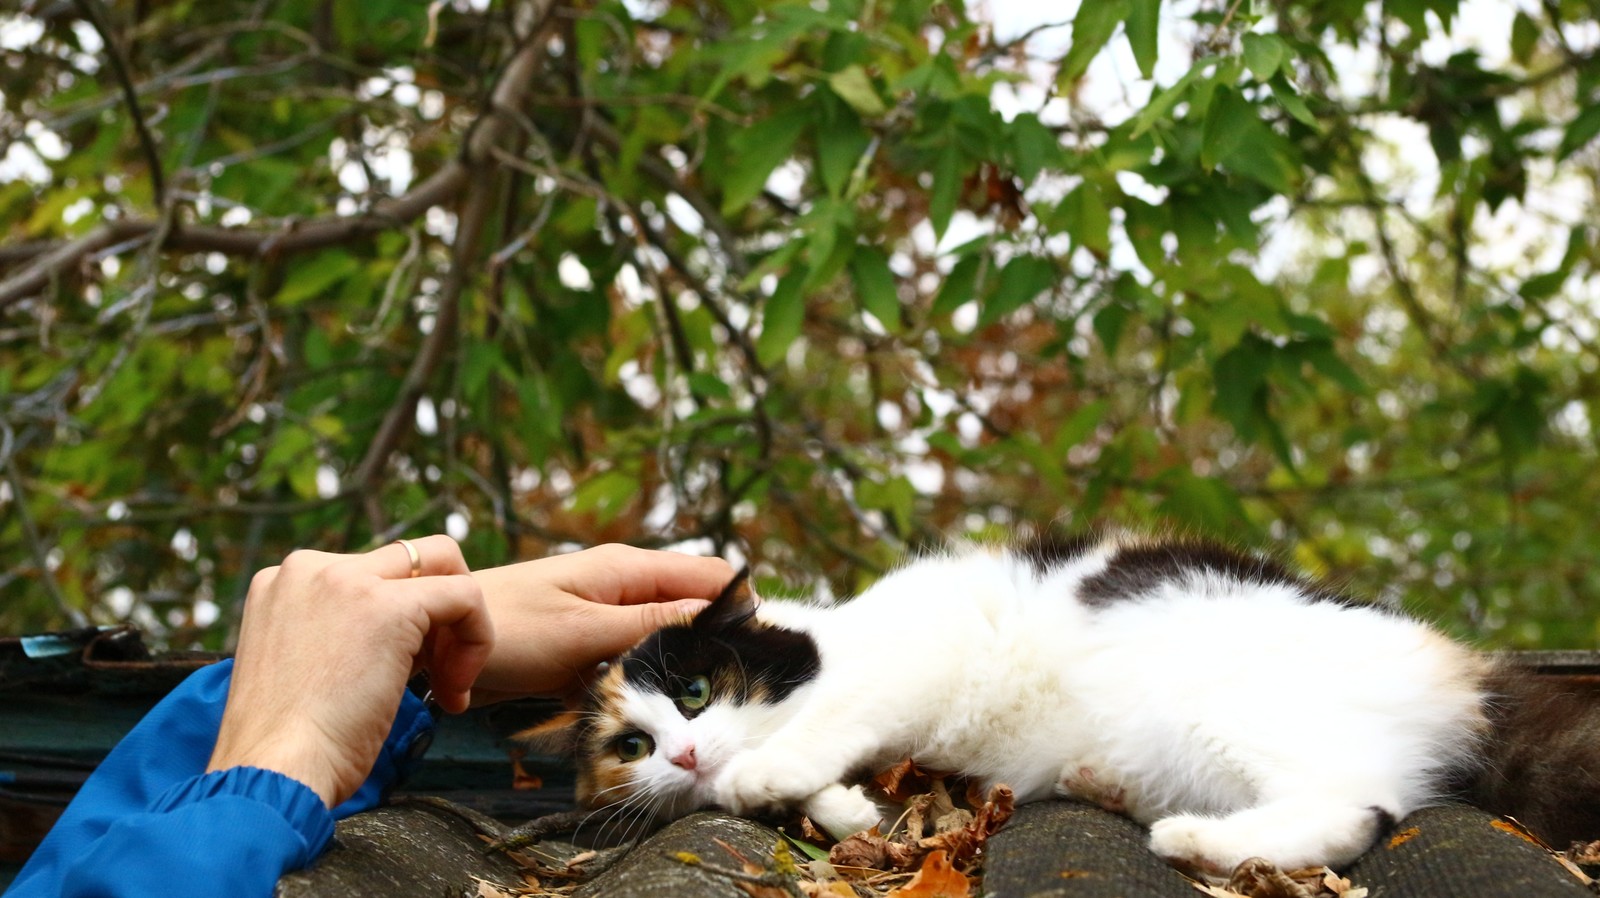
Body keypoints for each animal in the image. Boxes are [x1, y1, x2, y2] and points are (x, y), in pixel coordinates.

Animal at [521, 525, 1600, 877]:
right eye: (629, 745)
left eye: (698, 690)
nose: (683, 754)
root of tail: (1468, 670)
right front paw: (842, 808)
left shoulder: (930, 642)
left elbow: (832, 721)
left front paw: (769, 771)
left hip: (1225, 706)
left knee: (1356, 804)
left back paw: (1192, 843)